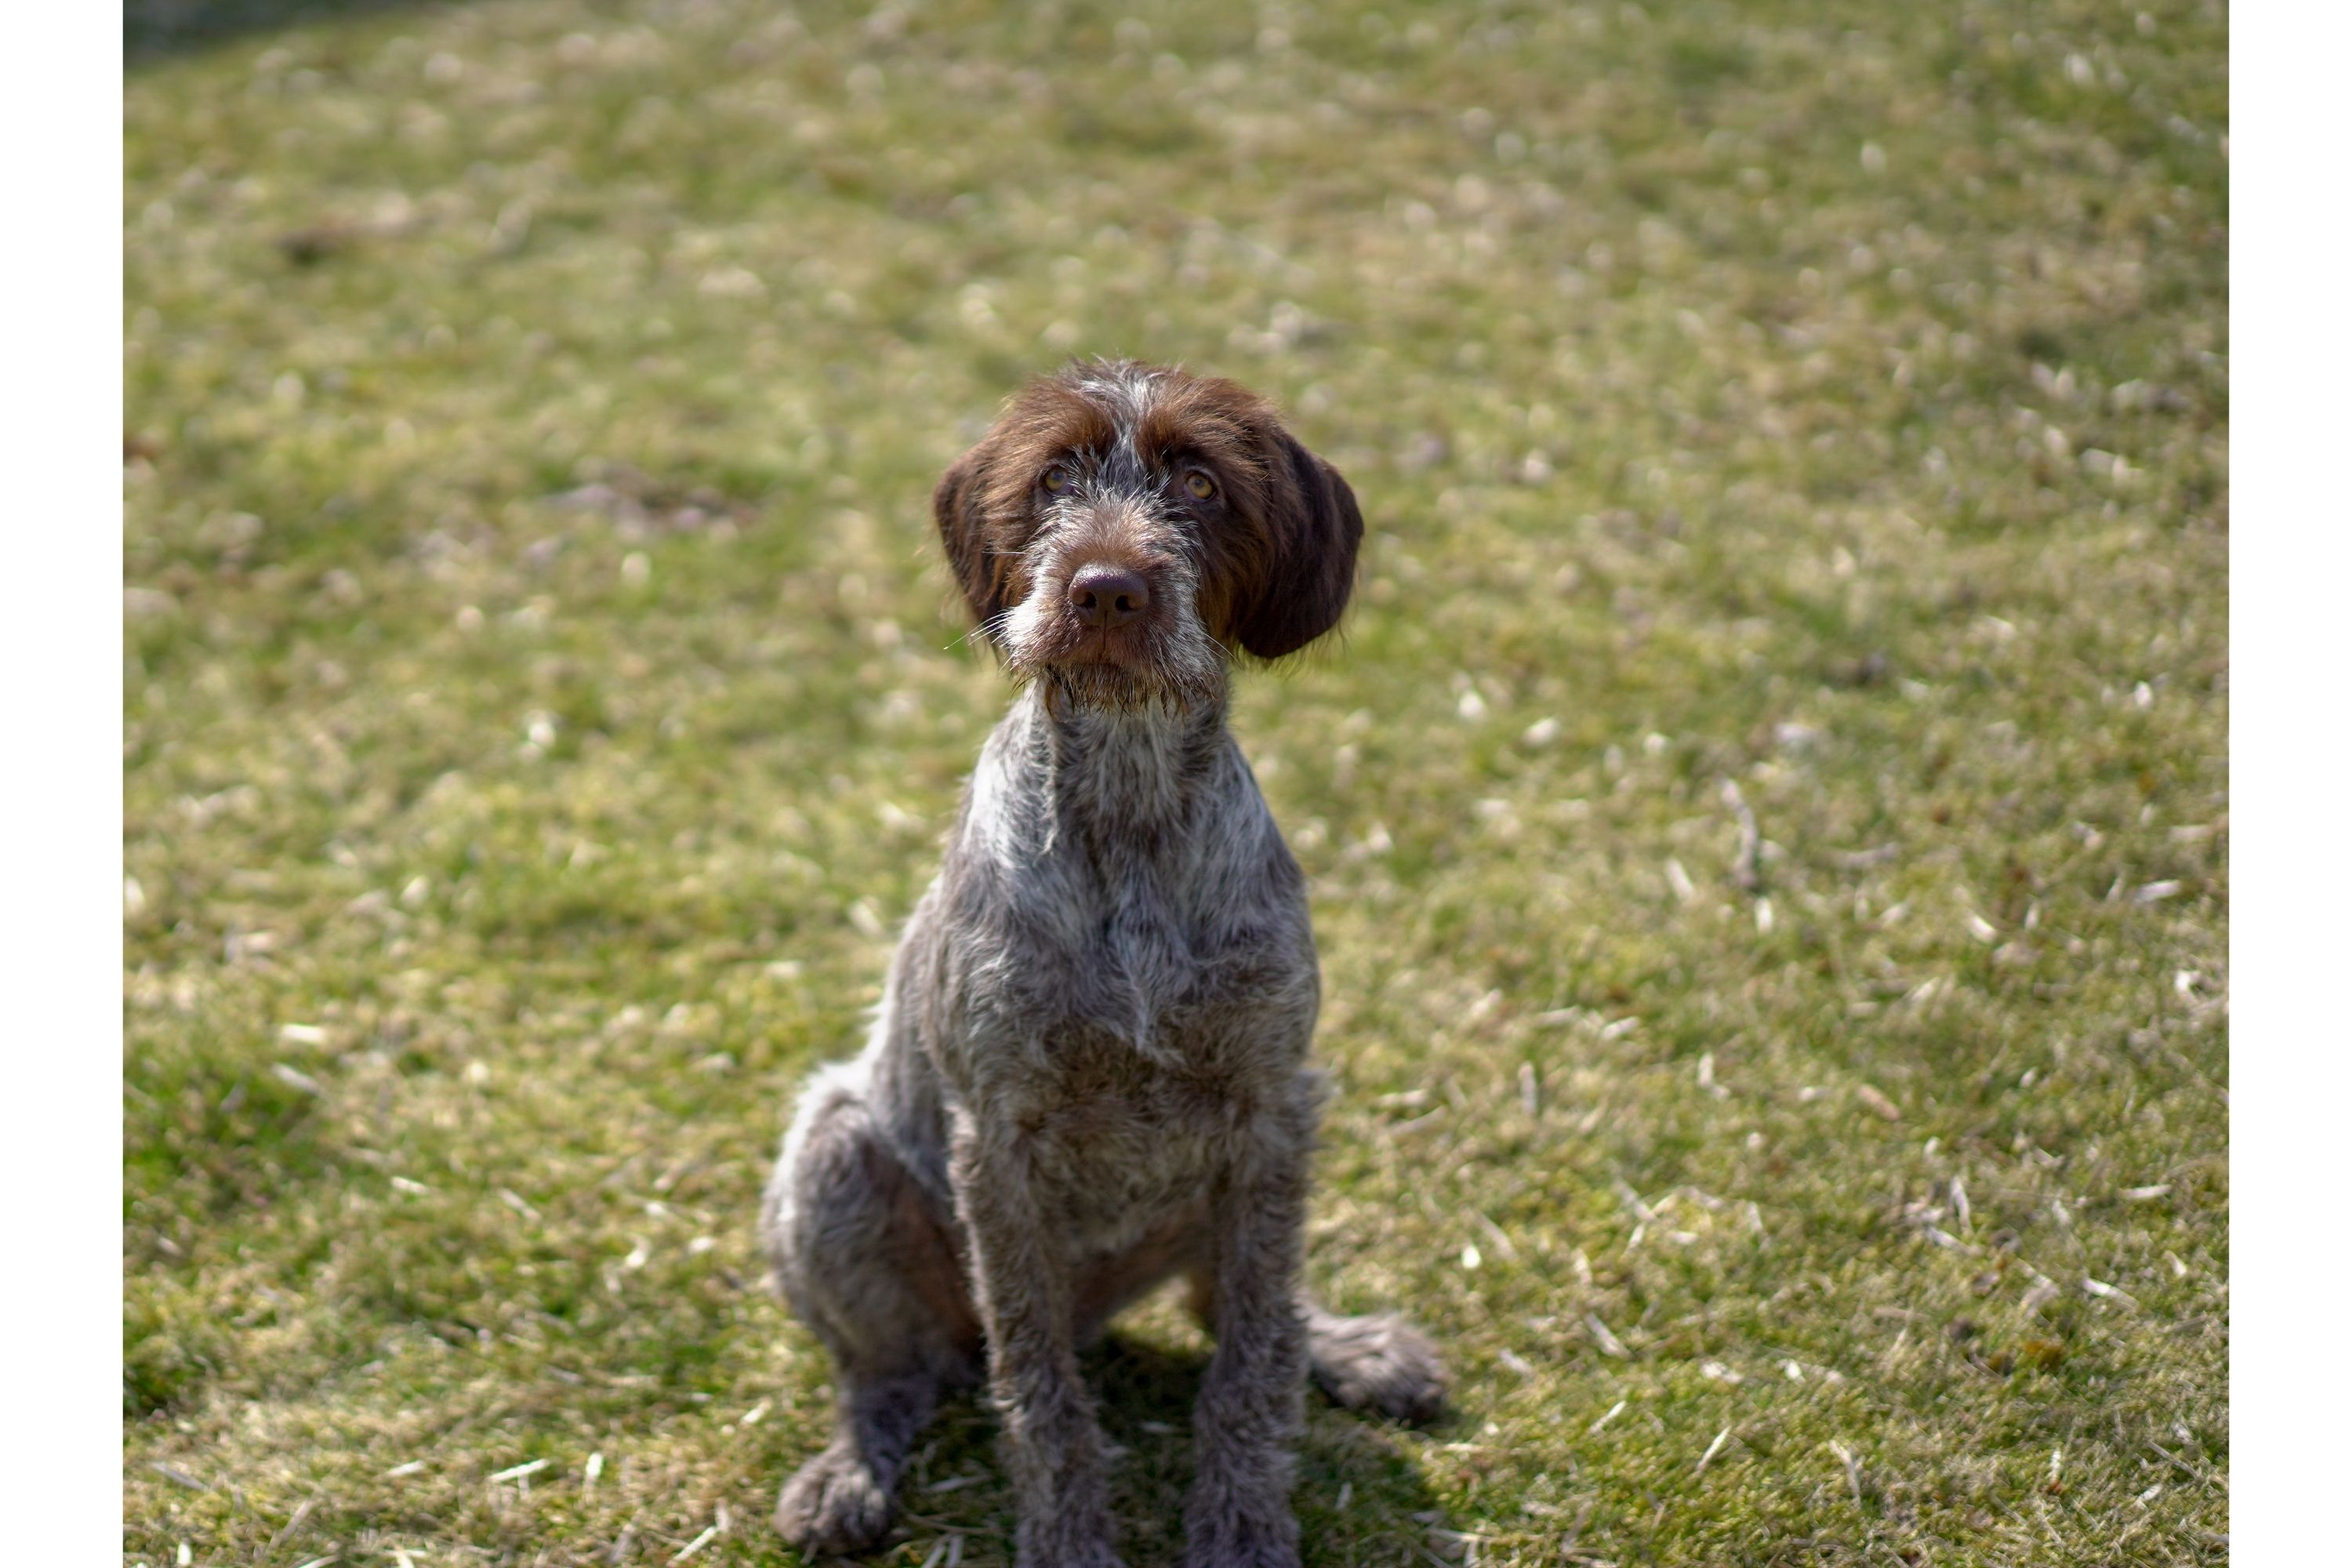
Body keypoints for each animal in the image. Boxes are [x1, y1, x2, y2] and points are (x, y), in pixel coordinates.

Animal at [762, 361, 1439, 1561]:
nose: (1107, 588)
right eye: (1054, 480)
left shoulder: (1271, 1110)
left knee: (1242, 1311)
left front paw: (1241, 1525)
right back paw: (850, 1471)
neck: (1129, 812)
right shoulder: (999, 1144)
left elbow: (1253, 1364)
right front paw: (1069, 1536)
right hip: (838, 1154)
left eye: (1202, 484)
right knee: (892, 1372)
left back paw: (1345, 1346)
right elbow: (1038, 1391)